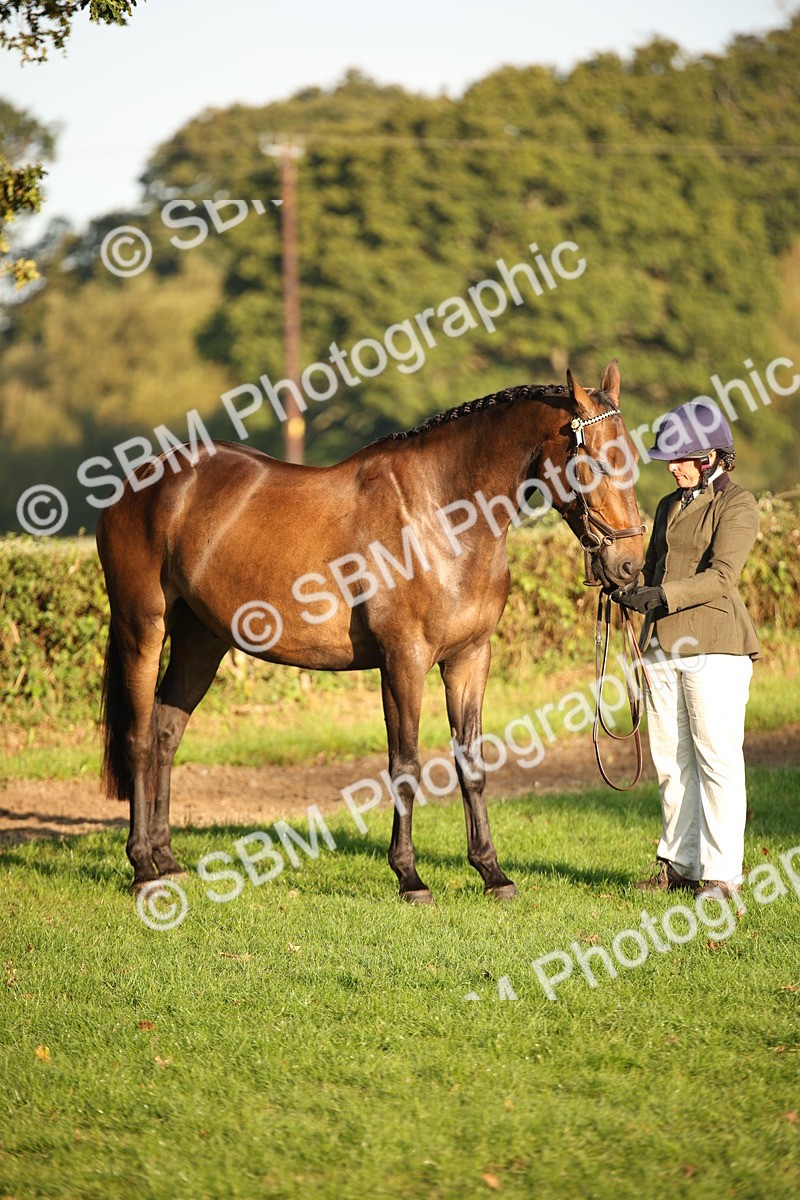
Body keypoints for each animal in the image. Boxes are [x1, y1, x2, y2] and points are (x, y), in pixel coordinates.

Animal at [97, 359, 644, 901]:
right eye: (595, 462)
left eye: (633, 457)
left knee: (167, 731)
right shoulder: (403, 661)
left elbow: (472, 763)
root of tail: (140, 480)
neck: (440, 515)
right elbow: (405, 766)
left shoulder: (469, 659)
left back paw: (168, 861)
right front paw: (409, 877)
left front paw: (492, 873)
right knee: (139, 738)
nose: (630, 564)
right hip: (141, 627)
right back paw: (143, 868)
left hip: (200, 640)